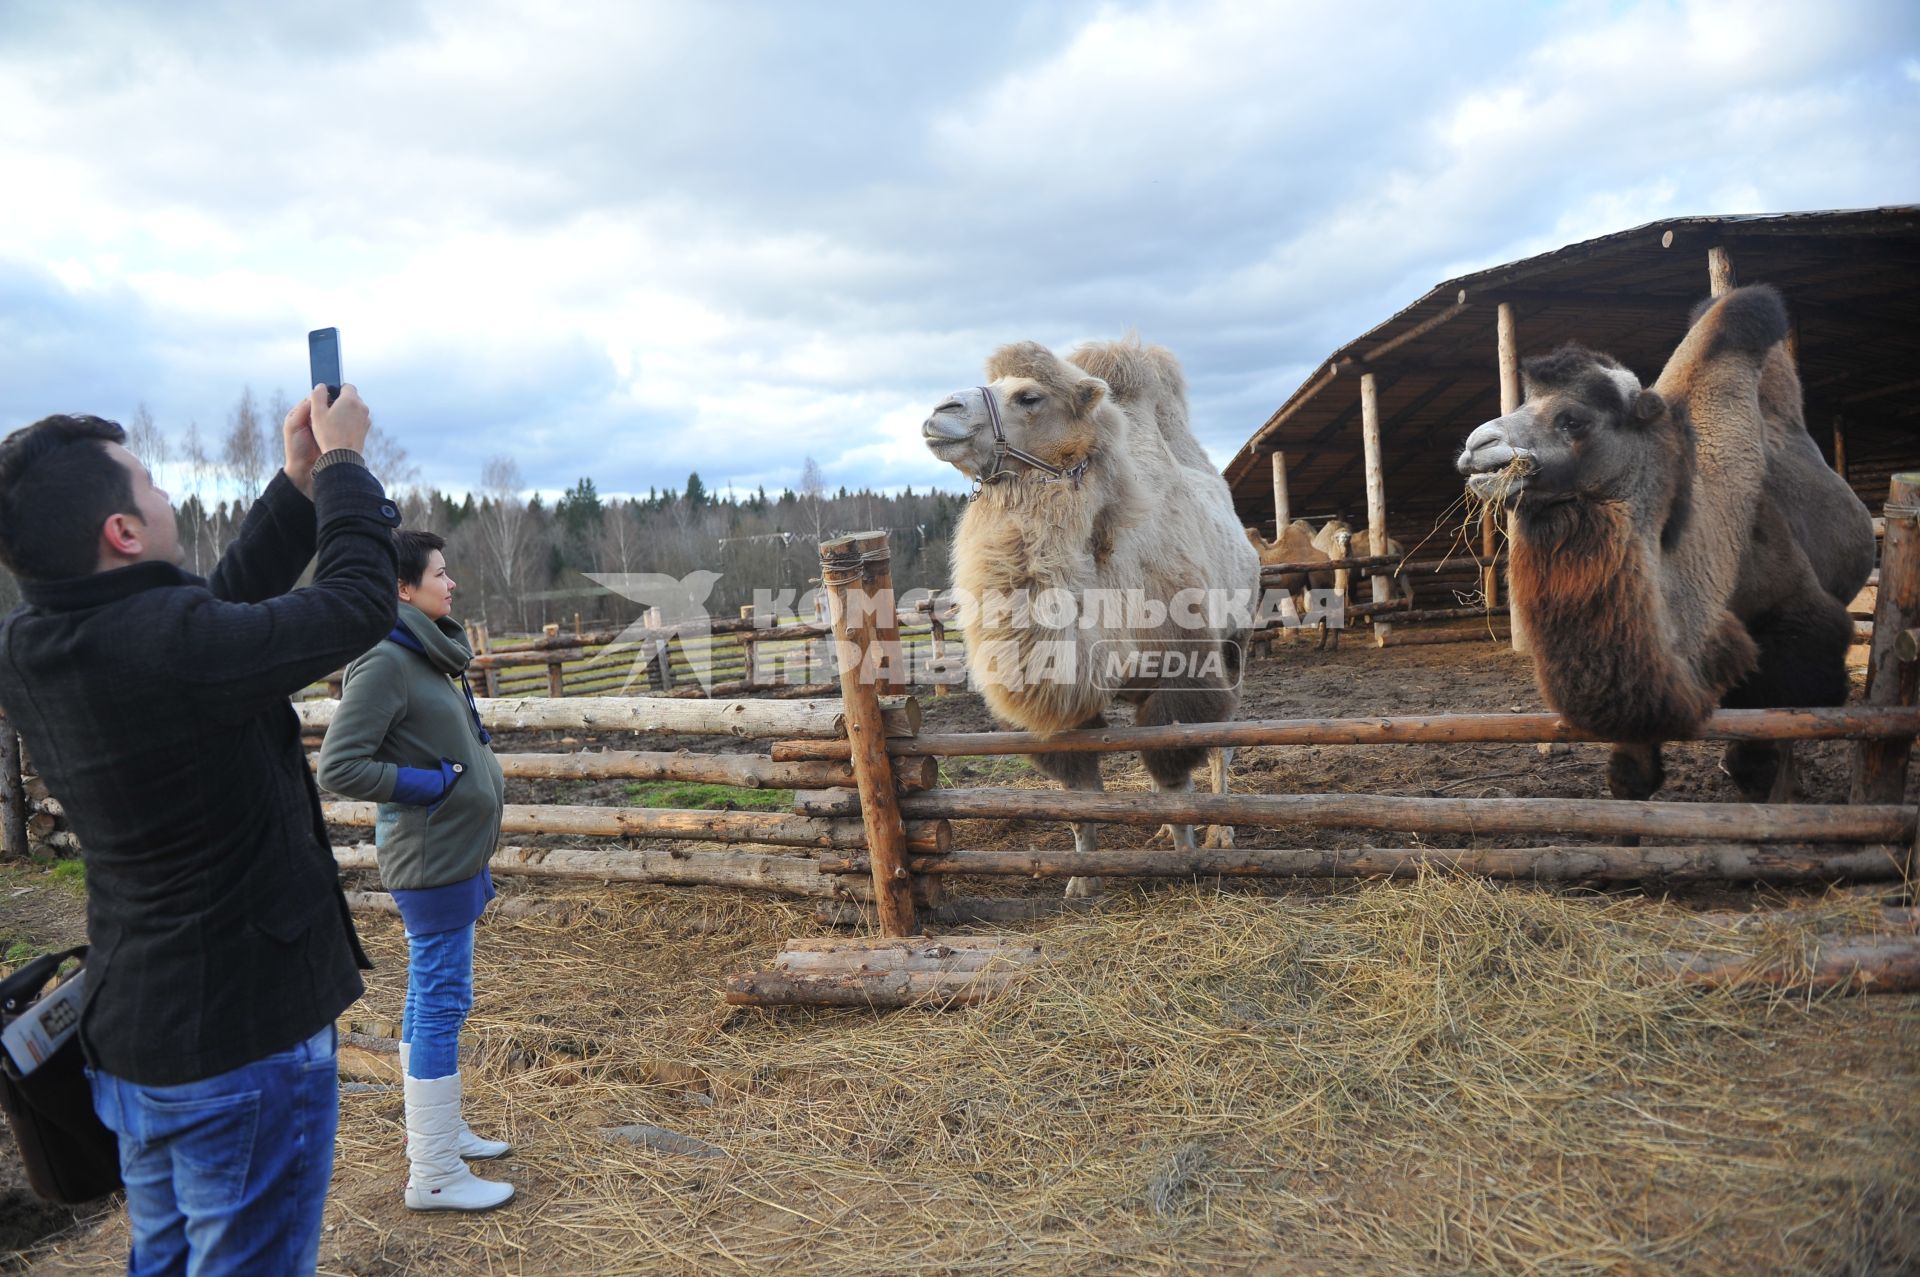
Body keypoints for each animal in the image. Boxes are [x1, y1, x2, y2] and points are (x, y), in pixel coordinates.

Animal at [925, 337, 1267, 894]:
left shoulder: (1183, 676)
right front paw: (1082, 879)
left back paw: (1222, 829)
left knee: (1223, 743)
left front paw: (1187, 855)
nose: (940, 412)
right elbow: (1080, 791)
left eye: (1029, 397)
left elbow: (1173, 772)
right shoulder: (1068, 701)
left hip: (1237, 642)